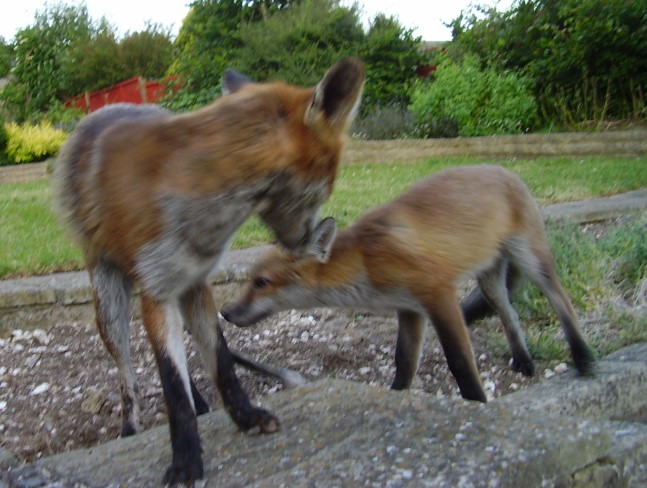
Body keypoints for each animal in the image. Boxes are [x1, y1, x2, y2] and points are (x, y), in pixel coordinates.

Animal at [52, 57, 365, 485]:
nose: (309, 240)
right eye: (328, 184)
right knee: (128, 373)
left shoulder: (197, 285)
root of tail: (101, 111)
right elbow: (172, 386)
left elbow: (221, 364)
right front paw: (186, 462)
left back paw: (201, 402)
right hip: (109, 303)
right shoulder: (158, 290)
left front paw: (246, 418)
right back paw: (129, 428)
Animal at [222, 164, 595, 403]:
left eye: (261, 282)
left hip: (532, 259)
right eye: (250, 280)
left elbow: (461, 365)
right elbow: (404, 363)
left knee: (563, 303)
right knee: (510, 315)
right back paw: (523, 360)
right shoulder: (409, 308)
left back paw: (584, 358)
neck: (367, 262)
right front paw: (396, 400)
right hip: (490, 282)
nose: (226, 312)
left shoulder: (438, 296)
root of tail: (505, 169)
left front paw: (476, 404)